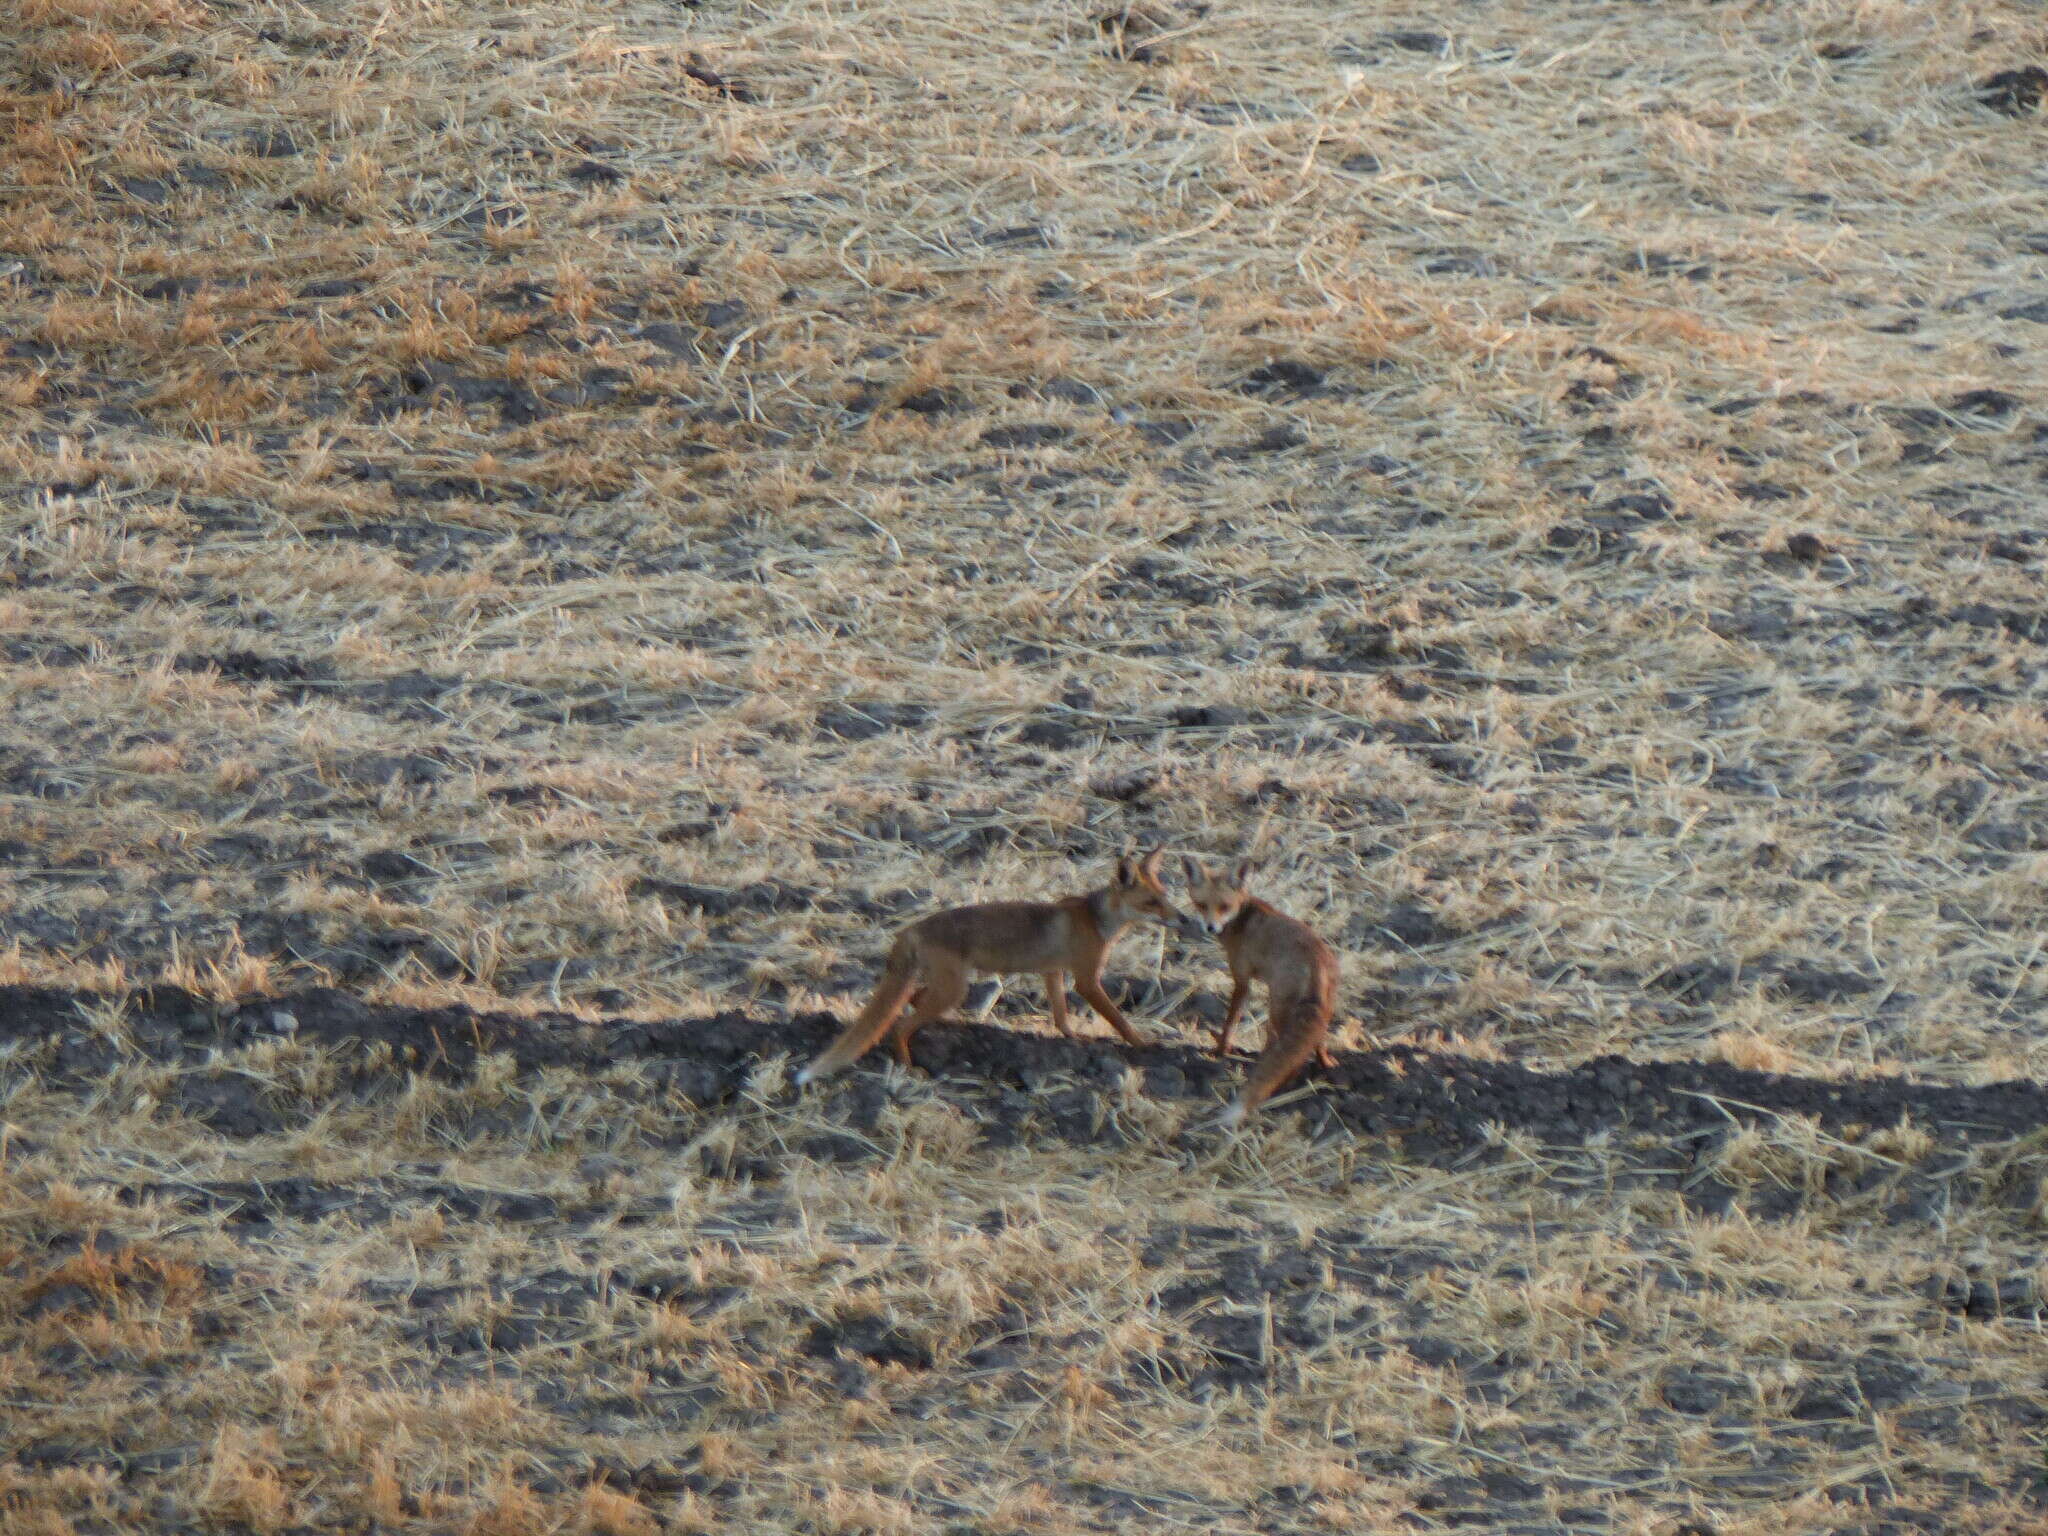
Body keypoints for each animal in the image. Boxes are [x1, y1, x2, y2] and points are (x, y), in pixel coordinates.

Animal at [798, 847, 1187, 1089]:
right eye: (1152, 902)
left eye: (1165, 896)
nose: (1182, 919)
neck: (1096, 920)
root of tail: (910, 929)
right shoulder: (1086, 979)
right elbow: (1119, 1020)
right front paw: (1142, 1044)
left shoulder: (1053, 972)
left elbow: (1060, 1014)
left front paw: (1073, 1036)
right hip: (954, 988)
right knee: (899, 1026)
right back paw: (909, 1069)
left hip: (947, 986)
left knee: (914, 1001)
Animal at [1179, 860, 1335, 1138]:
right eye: (1202, 905)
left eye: (1224, 906)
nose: (1210, 927)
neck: (1242, 917)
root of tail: (1315, 960)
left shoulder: (1242, 980)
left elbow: (1230, 1021)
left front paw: (1220, 1051)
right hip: (1318, 1008)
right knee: (1315, 1041)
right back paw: (1325, 1063)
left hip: (1278, 1007)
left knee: (1290, 1054)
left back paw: (1284, 1081)